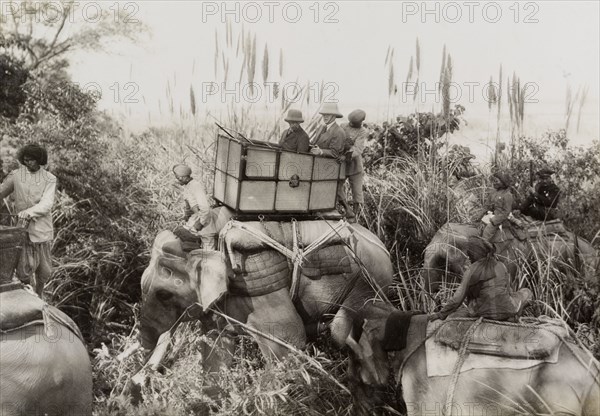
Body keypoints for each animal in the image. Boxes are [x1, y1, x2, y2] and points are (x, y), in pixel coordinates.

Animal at [139, 221, 396, 370]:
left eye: (163, 294)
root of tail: (382, 245)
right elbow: (217, 350)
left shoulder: (258, 294)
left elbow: (288, 340)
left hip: (368, 278)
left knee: (343, 329)